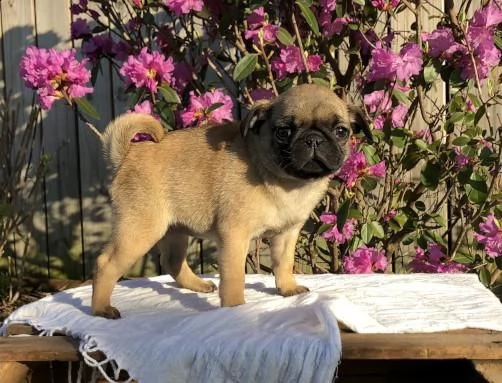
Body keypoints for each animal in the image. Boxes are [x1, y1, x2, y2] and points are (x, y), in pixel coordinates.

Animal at [92, 83, 370, 318]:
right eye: (283, 132)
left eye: (341, 131)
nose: (313, 139)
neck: (286, 181)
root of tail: (128, 155)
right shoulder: (235, 236)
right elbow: (235, 277)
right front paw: (236, 307)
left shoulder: (286, 235)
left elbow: (284, 263)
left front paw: (287, 288)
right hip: (140, 229)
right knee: (106, 264)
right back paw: (101, 308)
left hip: (174, 230)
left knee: (172, 261)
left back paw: (197, 285)